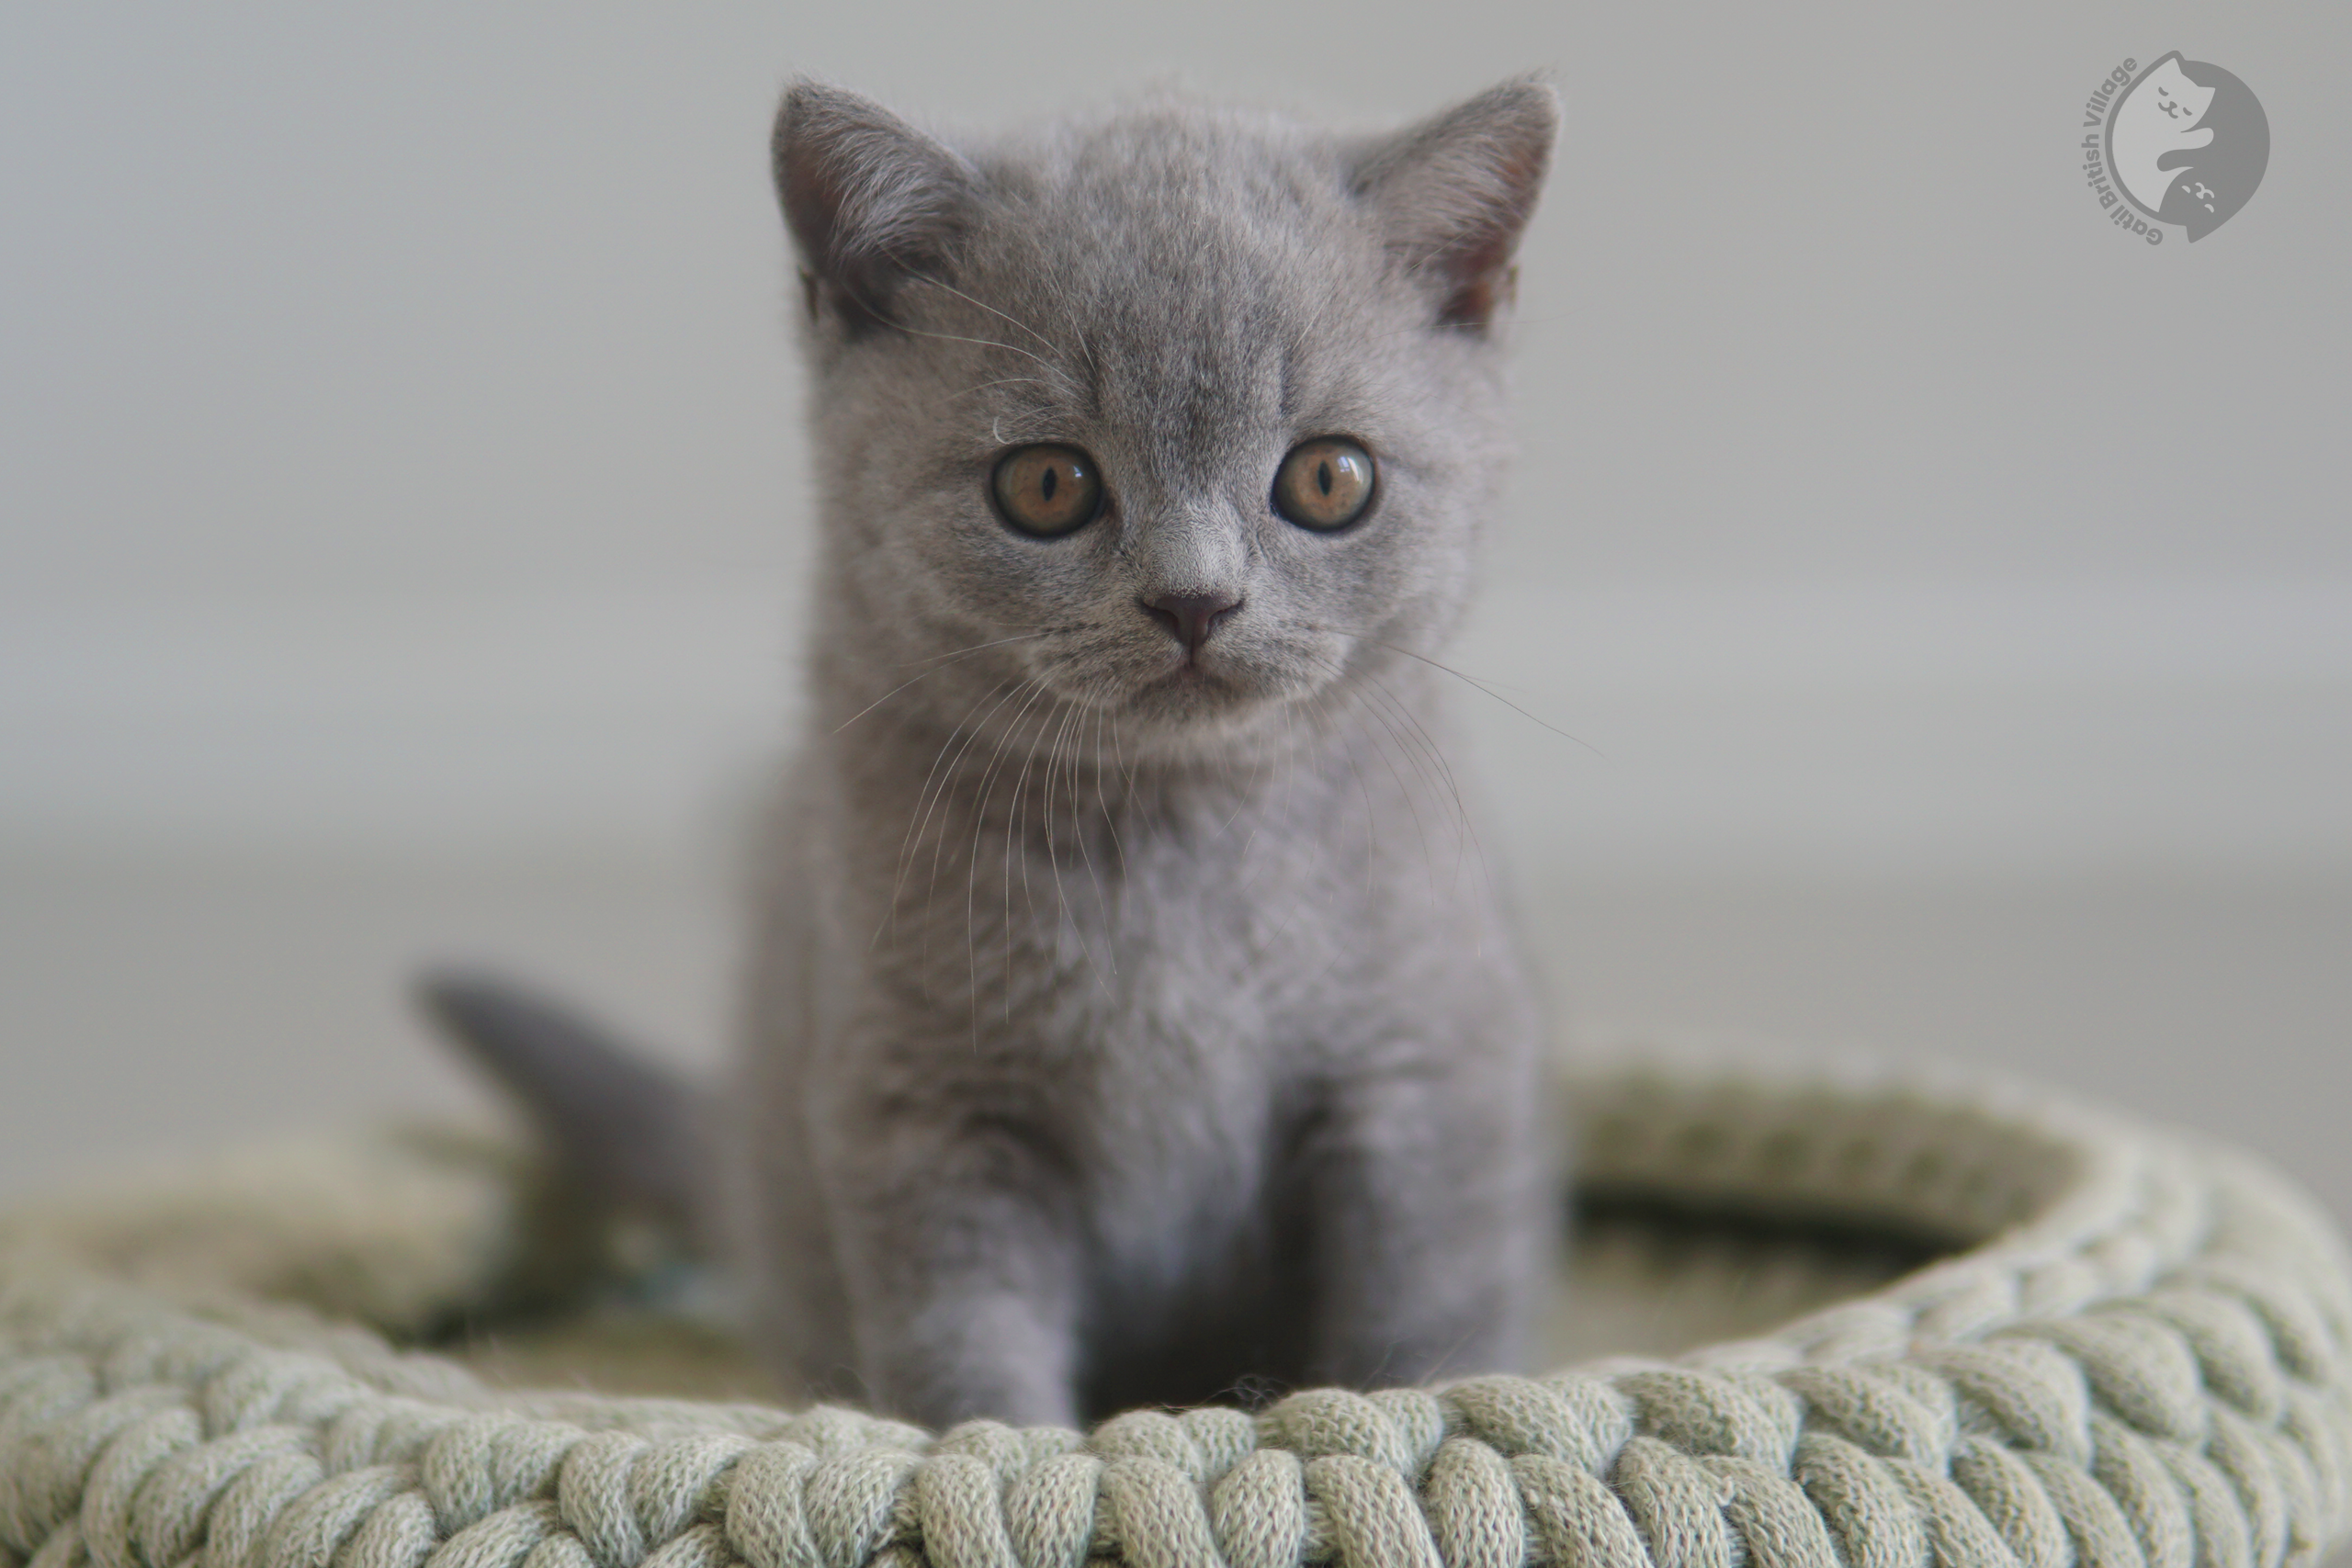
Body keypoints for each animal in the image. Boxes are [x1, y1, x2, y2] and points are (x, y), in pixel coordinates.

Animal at [433, 73, 1561, 1429]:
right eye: (1047, 484)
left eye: (1330, 479)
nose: (1195, 600)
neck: (1178, 851)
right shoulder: (925, 1108)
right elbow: (961, 1336)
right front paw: (1001, 1449)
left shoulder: (1422, 1078)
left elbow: (1420, 1308)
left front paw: (1405, 1419)